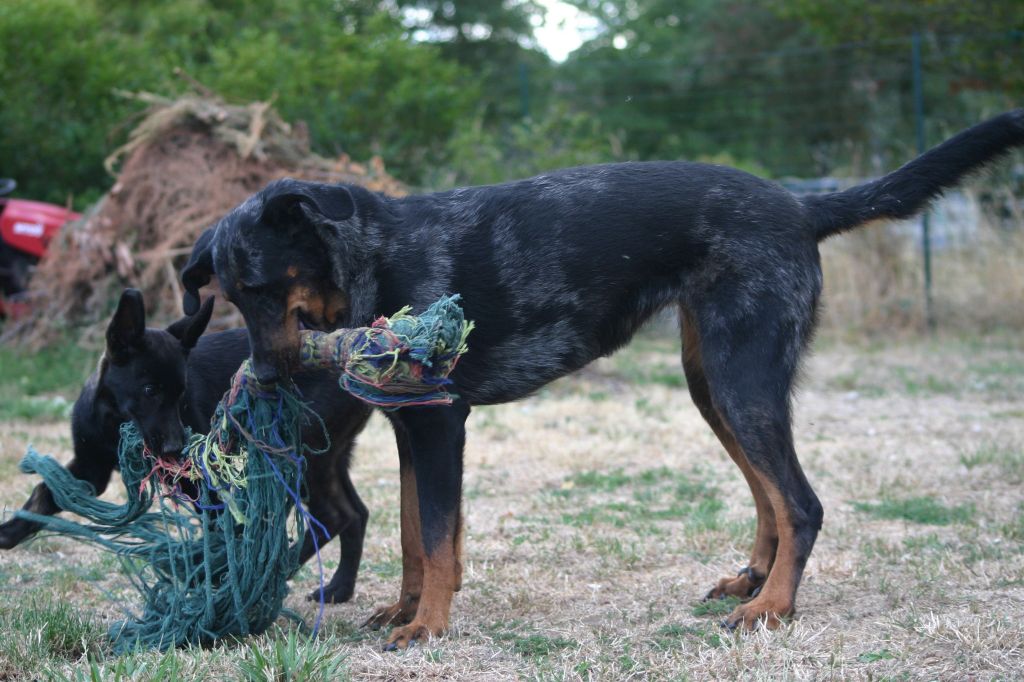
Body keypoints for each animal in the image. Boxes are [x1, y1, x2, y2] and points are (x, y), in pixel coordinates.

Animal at [0, 286, 376, 602]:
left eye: (181, 396)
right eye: (149, 390)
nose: (173, 448)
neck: (113, 424)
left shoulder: (201, 483)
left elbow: (219, 532)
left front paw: (221, 585)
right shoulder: (91, 467)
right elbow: (46, 492)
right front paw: (11, 531)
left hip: (304, 452)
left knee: (333, 515)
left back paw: (277, 570)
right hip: (332, 454)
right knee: (355, 512)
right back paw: (339, 588)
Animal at [180, 110, 1024, 643]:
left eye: (260, 286)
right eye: (230, 296)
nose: (266, 376)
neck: (374, 258)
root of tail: (800, 205)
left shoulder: (440, 425)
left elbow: (439, 538)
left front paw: (429, 627)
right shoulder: (410, 431)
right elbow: (417, 536)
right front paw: (405, 610)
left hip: (742, 380)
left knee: (803, 504)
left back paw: (773, 609)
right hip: (714, 388)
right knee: (772, 497)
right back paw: (755, 582)